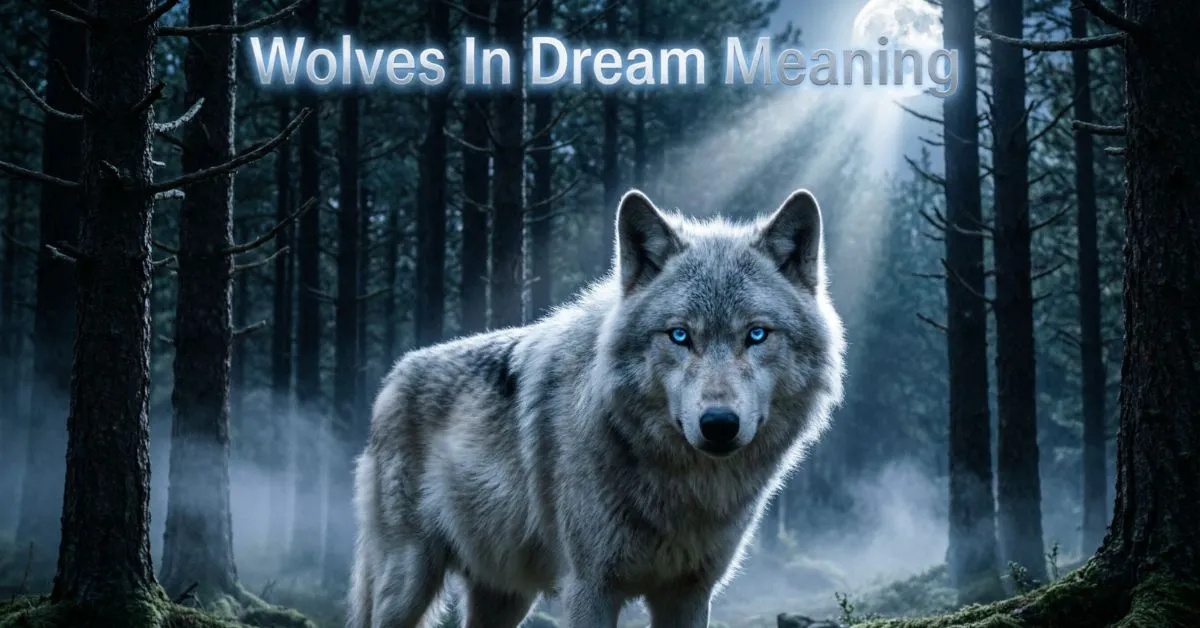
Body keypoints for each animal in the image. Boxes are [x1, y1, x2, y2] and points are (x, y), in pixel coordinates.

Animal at [347, 188, 845, 628]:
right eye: (680, 335)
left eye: (756, 334)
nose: (719, 424)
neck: (679, 487)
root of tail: (391, 379)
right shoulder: (589, 587)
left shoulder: (689, 593)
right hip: (406, 583)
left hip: (506, 597)